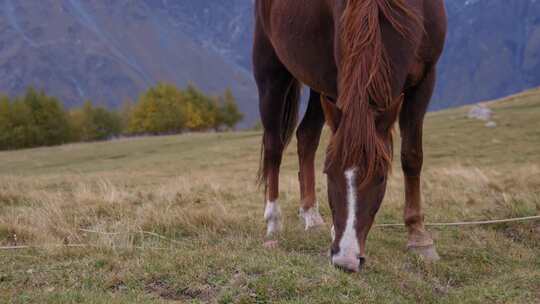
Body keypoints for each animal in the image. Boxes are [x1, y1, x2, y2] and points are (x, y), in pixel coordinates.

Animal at [253, 0, 448, 270]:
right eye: (328, 172)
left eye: (381, 177)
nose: (345, 259)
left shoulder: (425, 79)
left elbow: (412, 156)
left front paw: (419, 237)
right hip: (271, 70)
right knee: (274, 146)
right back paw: (273, 220)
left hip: (319, 86)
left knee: (307, 137)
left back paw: (311, 215)